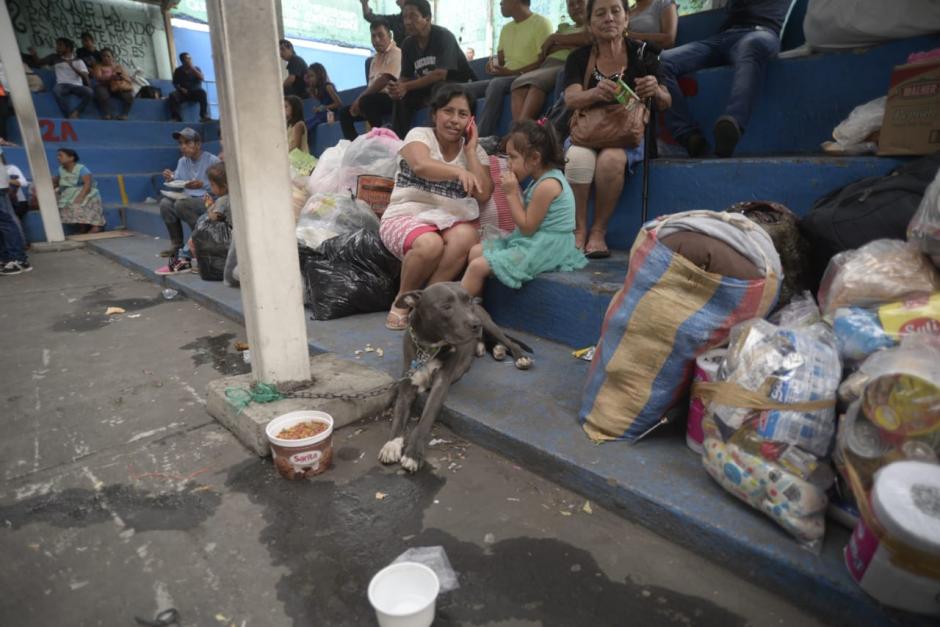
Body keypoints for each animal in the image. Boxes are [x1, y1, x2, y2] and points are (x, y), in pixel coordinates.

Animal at [378, 284, 532, 472]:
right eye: (446, 306)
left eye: (468, 301)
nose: (476, 324)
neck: (429, 348)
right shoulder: (407, 386)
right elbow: (398, 416)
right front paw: (392, 444)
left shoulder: (440, 385)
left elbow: (426, 418)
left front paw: (413, 453)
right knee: (489, 341)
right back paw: (495, 349)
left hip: (490, 326)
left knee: (510, 342)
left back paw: (518, 356)